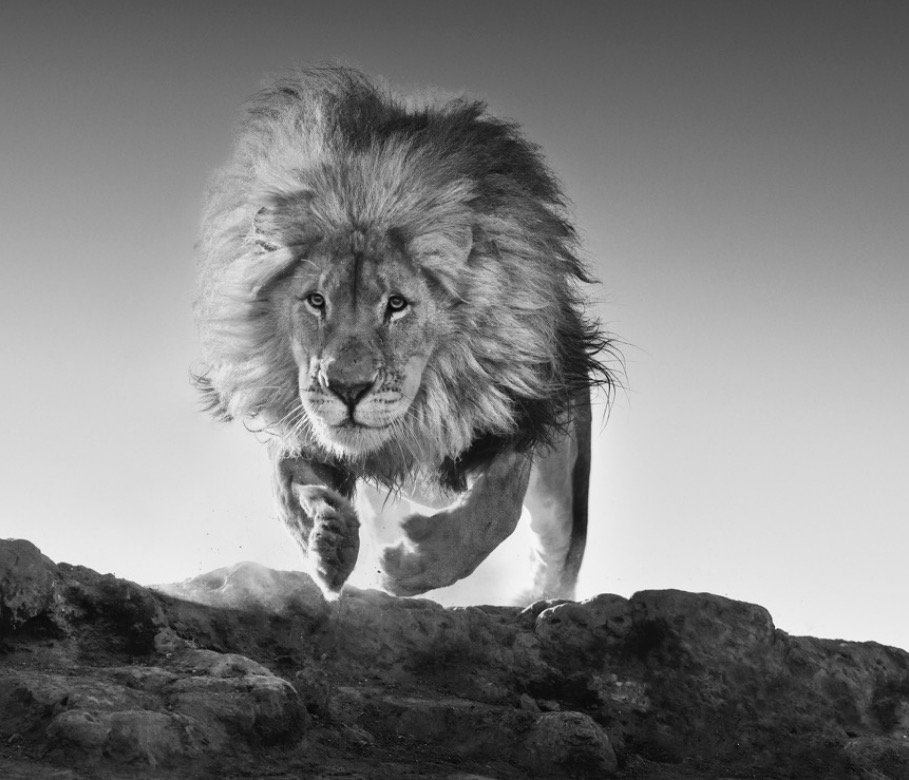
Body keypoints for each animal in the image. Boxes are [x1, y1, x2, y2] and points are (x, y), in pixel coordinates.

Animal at [194, 67, 617, 602]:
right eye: (316, 301)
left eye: (396, 304)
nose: (347, 389)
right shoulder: (297, 421)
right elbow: (290, 489)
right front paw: (329, 543)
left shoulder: (515, 412)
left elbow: (495, 509)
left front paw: (415, 565)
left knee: (558, 546)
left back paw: (538, 598)